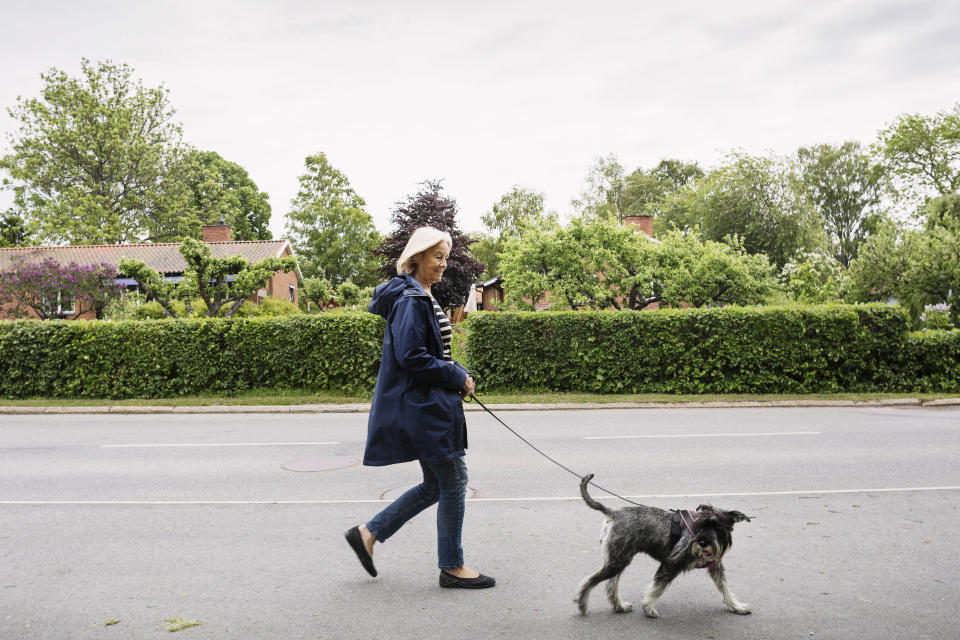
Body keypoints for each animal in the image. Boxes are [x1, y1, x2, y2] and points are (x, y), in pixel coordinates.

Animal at [572, 472, 752, 616]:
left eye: (719, 527)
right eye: (701, 524)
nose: (702, 542)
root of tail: (614, 513)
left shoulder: (716, 567)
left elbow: (725, 588)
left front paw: (737, 606)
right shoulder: (671, 563)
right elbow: (657, 588)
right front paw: (648, 608)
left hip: (619, 559)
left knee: (611, 584)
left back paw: (619, 606)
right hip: (617, 561)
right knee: (590, 580)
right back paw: (582, 604)